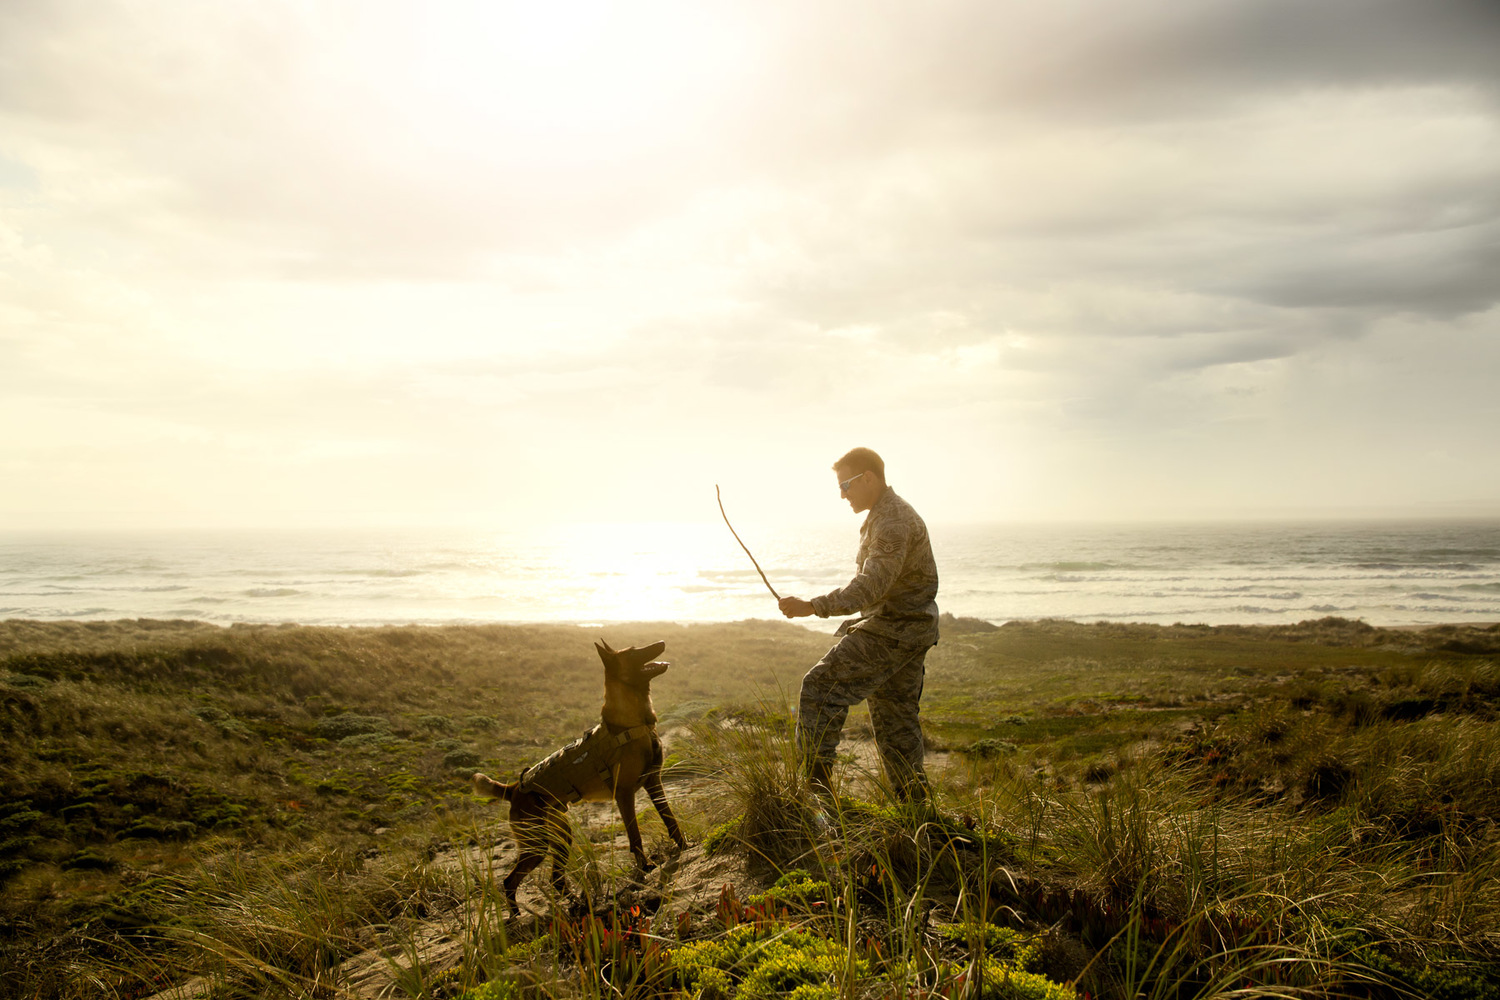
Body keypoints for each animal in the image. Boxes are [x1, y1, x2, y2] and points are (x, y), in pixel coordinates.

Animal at [471, 641, 687, 917]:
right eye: (633, 651)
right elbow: (635, 837)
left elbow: (670, 820)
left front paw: (684, 846)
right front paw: (645, 867)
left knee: (556, 879)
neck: (632, 722)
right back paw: (517, 916)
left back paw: (579, 903)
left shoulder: (653, 782)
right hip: (537, 845)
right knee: (511, 880)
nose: (661, 643)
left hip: (561, 838)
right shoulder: (624, 794)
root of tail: (514, 788)